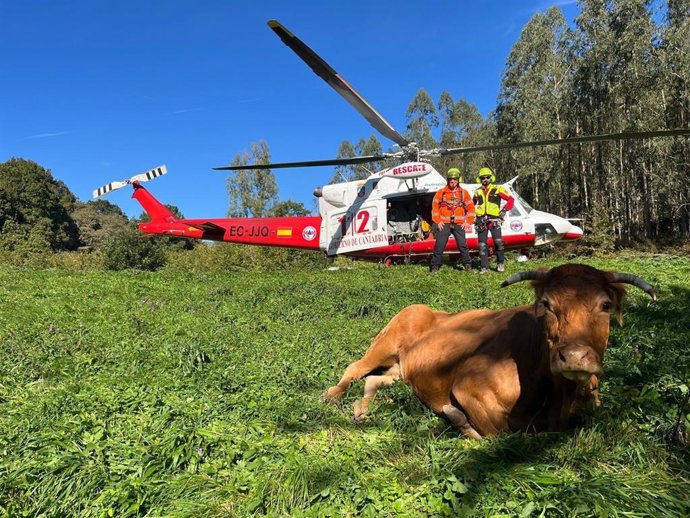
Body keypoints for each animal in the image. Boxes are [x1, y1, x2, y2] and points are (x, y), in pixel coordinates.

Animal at [323, 264, 656, 439]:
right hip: (388, 341)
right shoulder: (467, 386)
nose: (573, 357)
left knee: (375, 380)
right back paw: (333, 395)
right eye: (546, 304)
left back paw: (362, 409)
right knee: (355, 368)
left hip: (402, 370)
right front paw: (458, 419)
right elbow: (498, 428)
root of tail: (424, 307)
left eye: (605, 305)